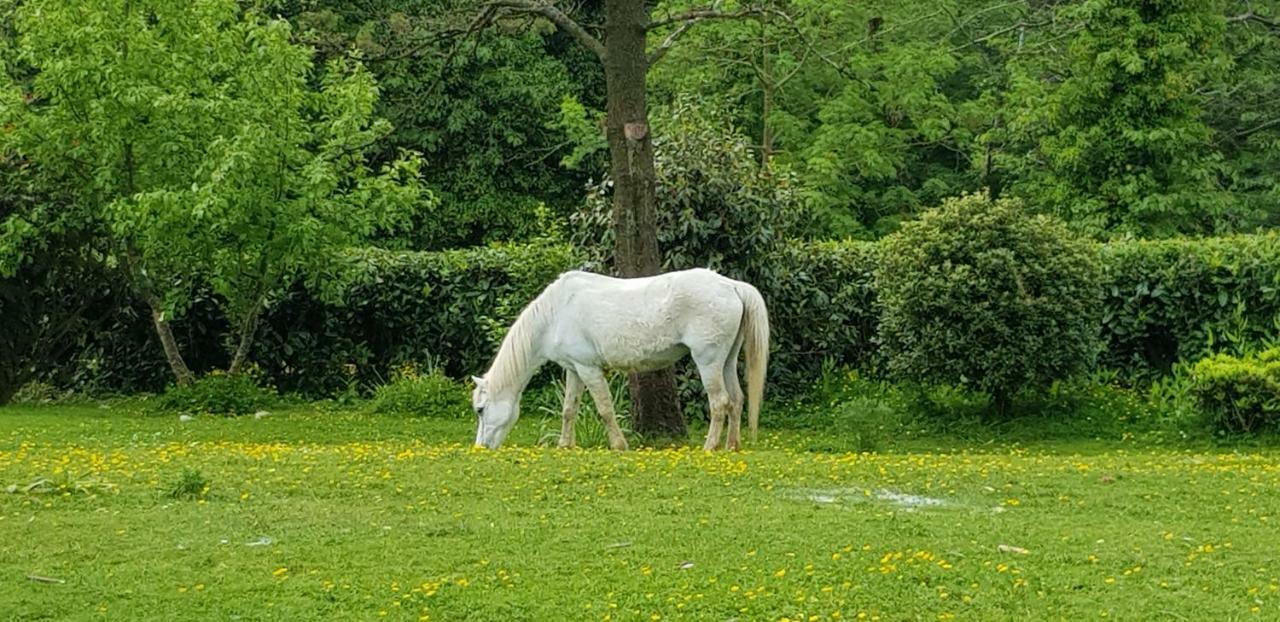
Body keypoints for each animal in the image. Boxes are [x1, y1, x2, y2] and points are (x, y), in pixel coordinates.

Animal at [471, 267, 768, 453]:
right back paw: (732, 446)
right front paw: (565, 445)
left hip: (708, 361)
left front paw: (618, 445)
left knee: (720, 403)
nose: (480, 447)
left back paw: (709, 447)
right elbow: (569, 409)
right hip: (726, 361)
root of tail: (731, 286)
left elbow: (605, 409)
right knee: (736, 400)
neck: (555, 313)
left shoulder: (589, 369)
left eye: (480, 410)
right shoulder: (574, 370)